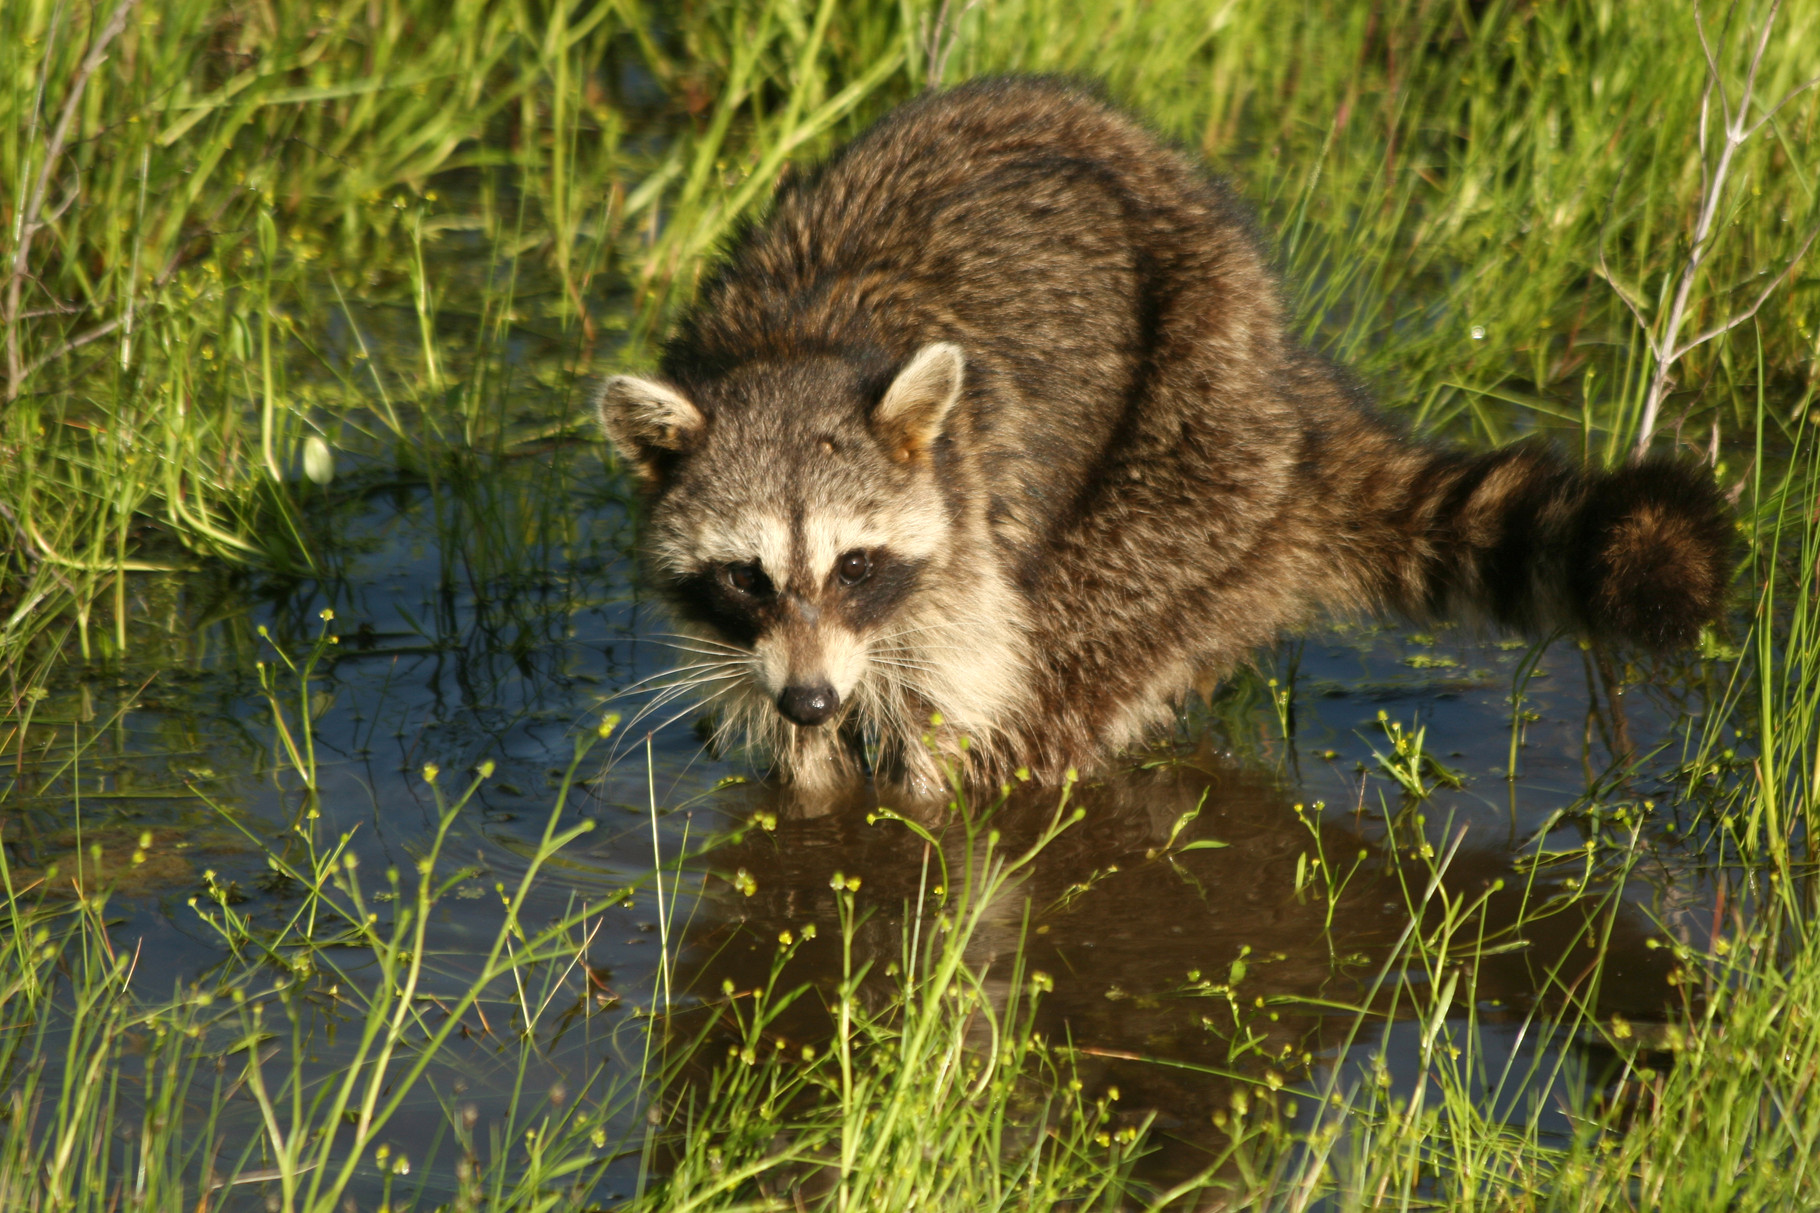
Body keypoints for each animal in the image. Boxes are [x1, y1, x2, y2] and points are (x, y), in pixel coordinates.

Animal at [600, 77, 1732, 794]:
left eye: (855, 564)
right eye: (746, 575)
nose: (808, 699)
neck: (797, 340)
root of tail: (1284, 391)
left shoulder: (964, 542)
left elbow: (952, 725)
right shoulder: (751, 639)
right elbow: (795, 753)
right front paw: (809, 791)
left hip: (1189, 459)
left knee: (1070, 663)